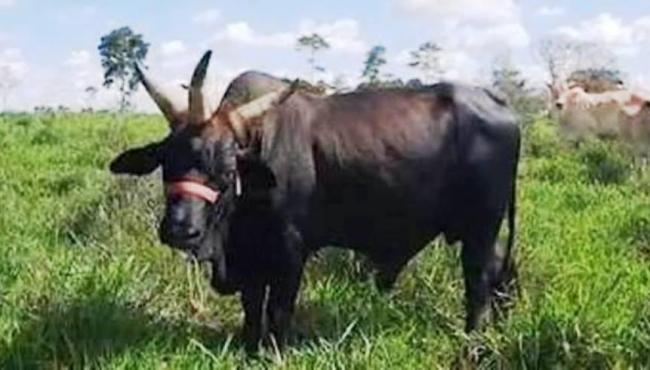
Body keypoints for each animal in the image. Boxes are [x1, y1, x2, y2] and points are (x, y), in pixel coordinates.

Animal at [110, 74, 516, 346]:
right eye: (167, 162)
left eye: (226, 169)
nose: (180, 229)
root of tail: (498, 101)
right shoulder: (250, 255)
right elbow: (251, 307)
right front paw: (249, 348)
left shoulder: (290, 250)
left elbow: (278, 309)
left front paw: (274, 351)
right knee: (503, 274)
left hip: (481, 231)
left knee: (478, 283)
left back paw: (473, 339)